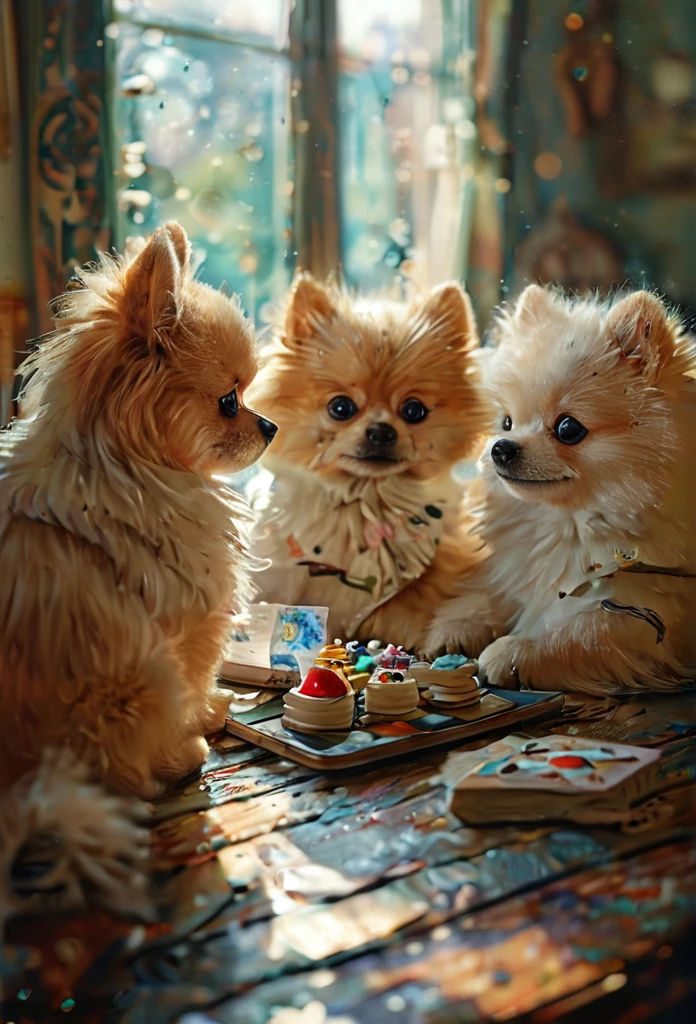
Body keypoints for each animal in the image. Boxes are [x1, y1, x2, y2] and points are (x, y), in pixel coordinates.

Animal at [0, 224, 276, 913]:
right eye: (229, 401)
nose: (270, 425)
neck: (119, 460)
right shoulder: (192, 618)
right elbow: (197, 681)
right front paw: (200, 723)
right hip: (139, 676)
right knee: (123, 776)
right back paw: (174, 761)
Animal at [427, 284, 696, 692]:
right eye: (507, 422)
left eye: (568, 428)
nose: (500, 448)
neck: (572, 521)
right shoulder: (521, 565)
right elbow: (494, 591)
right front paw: (457, 624)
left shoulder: (654, 605)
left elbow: (586, 629)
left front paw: (514, 650)